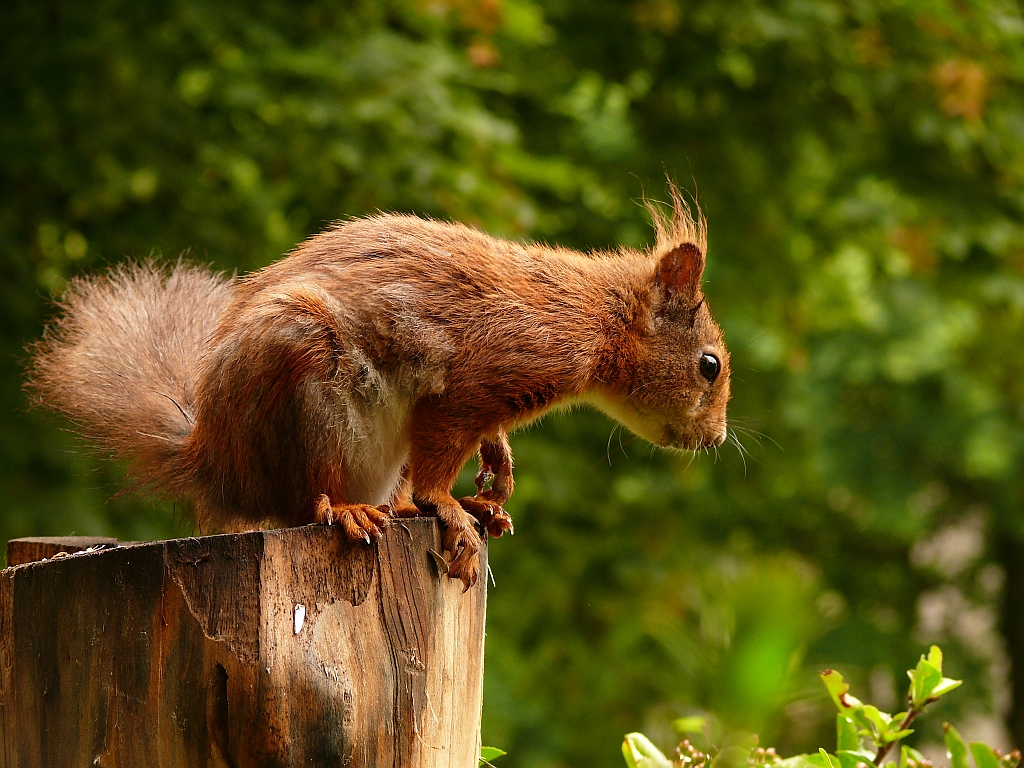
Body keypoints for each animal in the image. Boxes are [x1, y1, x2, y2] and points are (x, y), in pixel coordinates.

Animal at [24, 189, 729, 585]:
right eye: (709, 366)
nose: (717, 440)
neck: (591, 320)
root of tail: (216, 460)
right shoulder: (478, 380)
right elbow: (442, 450)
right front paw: (449, 505)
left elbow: (482, 442)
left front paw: (495, 471)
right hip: (305, 380)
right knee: (307, 495)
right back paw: (352, 509)